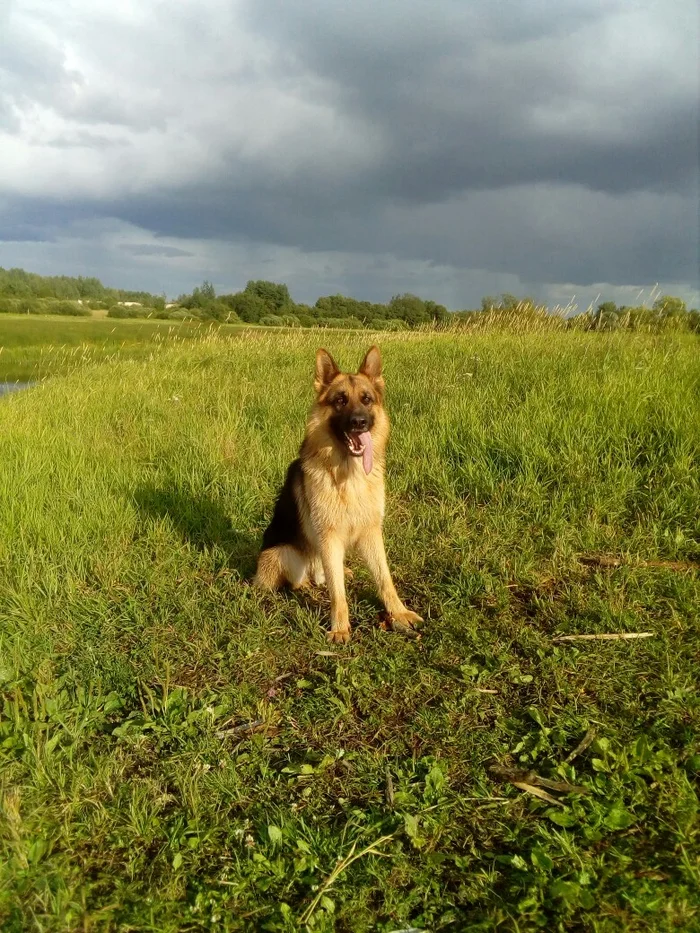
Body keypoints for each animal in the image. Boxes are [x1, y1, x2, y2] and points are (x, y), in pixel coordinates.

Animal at [254, 346, 424, 644]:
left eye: (366, 399)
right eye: (340, 400)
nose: (360, 422)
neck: (349, 475)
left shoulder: (370, 532)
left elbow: (384, 579)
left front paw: (399, 613)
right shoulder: (329, 537)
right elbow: (338, 592)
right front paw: (341, 627)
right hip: (283, 553)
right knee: (303, 582)